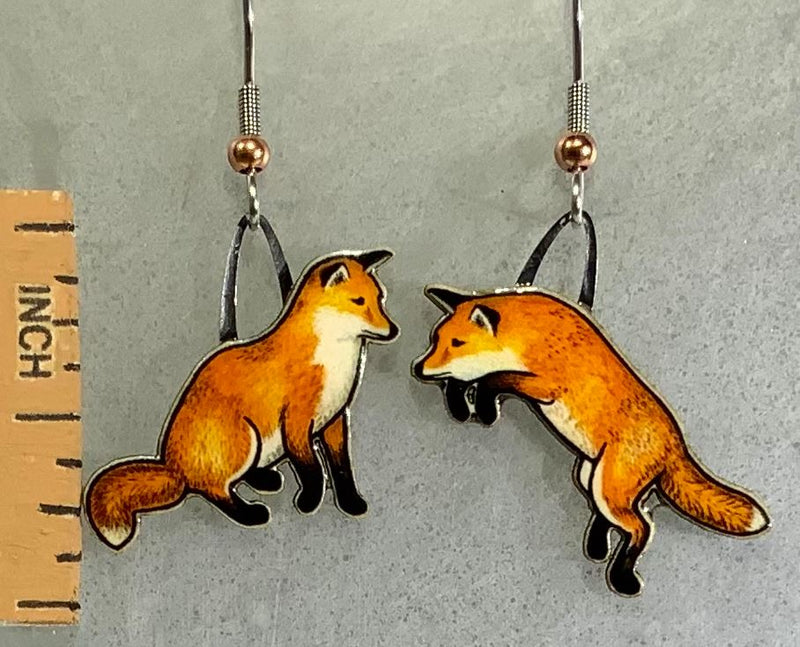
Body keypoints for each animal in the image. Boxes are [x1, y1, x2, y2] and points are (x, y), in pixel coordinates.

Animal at [85, 249, 399, 551]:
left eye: (380, 298)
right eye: (358, 301)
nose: (394, 331)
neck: (333, 358)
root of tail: (173, 466)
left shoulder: (334, 419)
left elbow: (341, 469)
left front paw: (350, 503)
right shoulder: (296, 423)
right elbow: (312, 471)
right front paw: (309, 502)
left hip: (258, 444)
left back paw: (265, 480)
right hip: (244, 438)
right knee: (214, 490)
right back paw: (250, 513)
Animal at [412, 284, 770, 596]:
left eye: (457, 342)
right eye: (435, 340)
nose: (419, 368)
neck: (530, 331)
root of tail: (674, 442)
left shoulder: (543, 385)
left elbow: (494, 379)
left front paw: (484, 407)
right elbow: (468, 379)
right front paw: (461, 405)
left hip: (609, 487)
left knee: (641, 527)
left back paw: (622, 577)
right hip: (592, 477)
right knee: (615, 518)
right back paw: (597, 548)